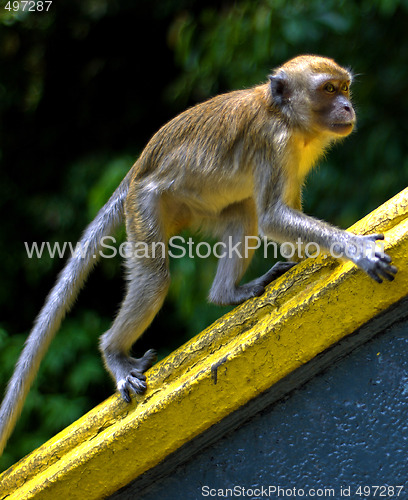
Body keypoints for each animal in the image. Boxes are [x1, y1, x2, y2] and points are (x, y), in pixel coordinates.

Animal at [0, 54, 396, 454]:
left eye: (344, 88)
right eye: (328, 89)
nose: (347, 106)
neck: (285, 116)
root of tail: (138, 167)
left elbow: (277, 220)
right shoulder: (275, 143)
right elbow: (273, 218)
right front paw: (357, 249)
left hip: (194, 207)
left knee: (242, 213)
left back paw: (227, 293)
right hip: (145, 205)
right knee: (156, 279)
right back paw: (114, 352)